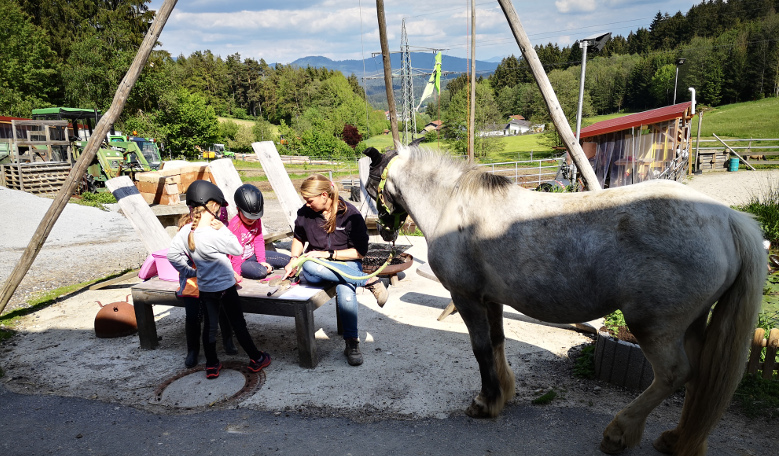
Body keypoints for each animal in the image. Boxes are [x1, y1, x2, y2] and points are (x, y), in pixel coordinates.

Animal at [362, 146, 764, 456]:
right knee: (698, 378)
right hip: (693, 322)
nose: (380, 229)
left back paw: (619, 433)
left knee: (674, 375)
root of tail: (727, 219)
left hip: (654, 326)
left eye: (369, 185)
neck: (452, 205)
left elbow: (481, 349)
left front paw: (485, 402)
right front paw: (504, 393)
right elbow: (497, 342)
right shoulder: (491, 300)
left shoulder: (466, 298)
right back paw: (676, 439)